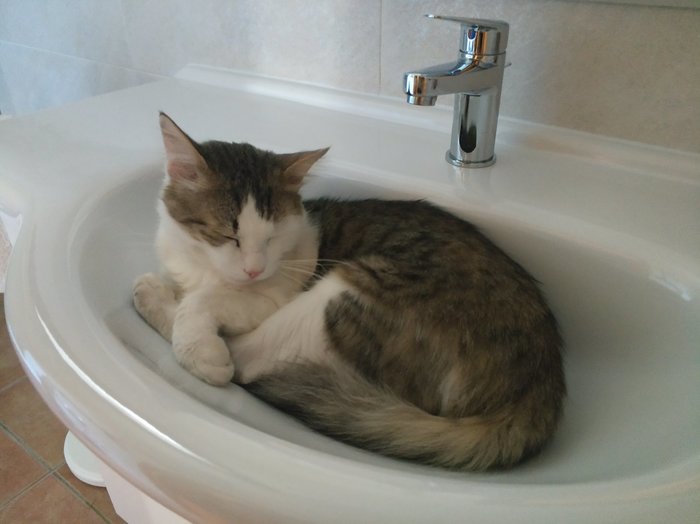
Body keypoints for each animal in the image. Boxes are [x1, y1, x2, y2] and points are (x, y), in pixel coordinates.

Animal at [134, 113, 568, 470]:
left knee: (248, 361)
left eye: (272, 238)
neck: (200, 268)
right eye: (229, 236)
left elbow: (203, 303)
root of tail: (541, 382)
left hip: (349, 290)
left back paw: (156, 300)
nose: (254, 269)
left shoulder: (271, 296)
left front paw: (196, 343)